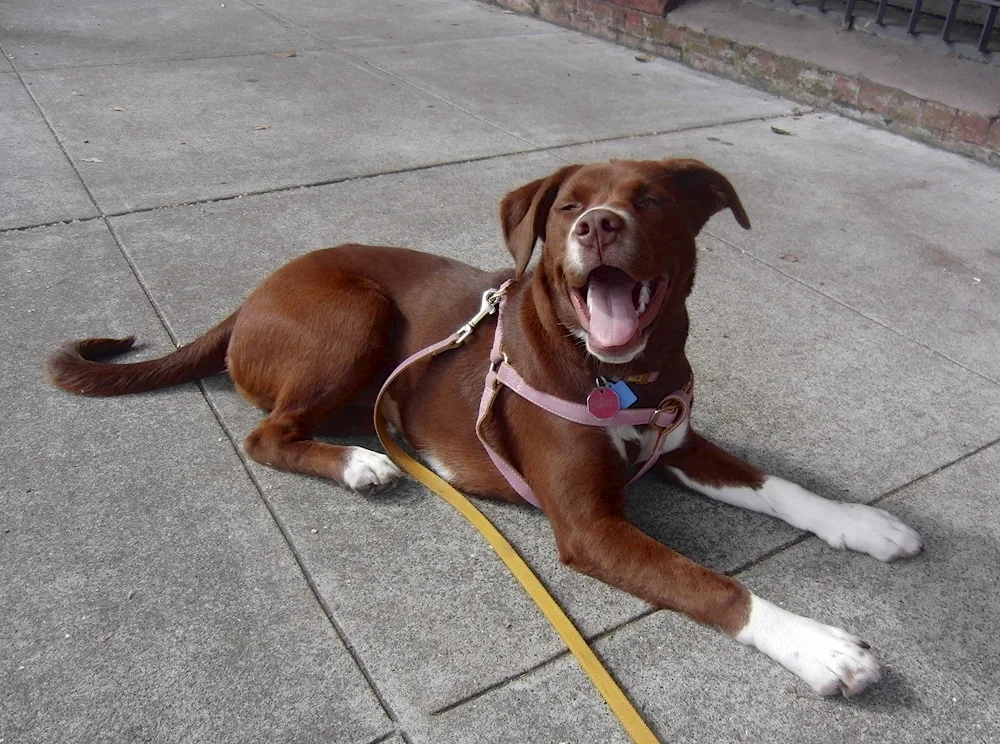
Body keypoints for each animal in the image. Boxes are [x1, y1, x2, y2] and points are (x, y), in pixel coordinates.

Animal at [47, 158, 920, 696]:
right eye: (568, 207)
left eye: (651, 199)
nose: (599, 225)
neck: (621, 374)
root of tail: (252, 296)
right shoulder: (590, 525)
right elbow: (714, 585)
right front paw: (816, 645)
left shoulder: (678, 441)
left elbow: (782, 487)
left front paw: (864, 524)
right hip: (355, 313)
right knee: (266, 436)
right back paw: (361, 463)